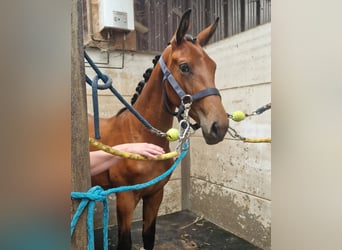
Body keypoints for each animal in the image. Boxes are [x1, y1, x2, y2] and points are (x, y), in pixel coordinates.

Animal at [88, 9, 228, 250]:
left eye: (213, 67)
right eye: (184, 67)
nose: (219, 126)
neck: (140, 136)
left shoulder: (155, 195)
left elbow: (149, 236)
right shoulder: (125, 200)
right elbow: (125, 242)